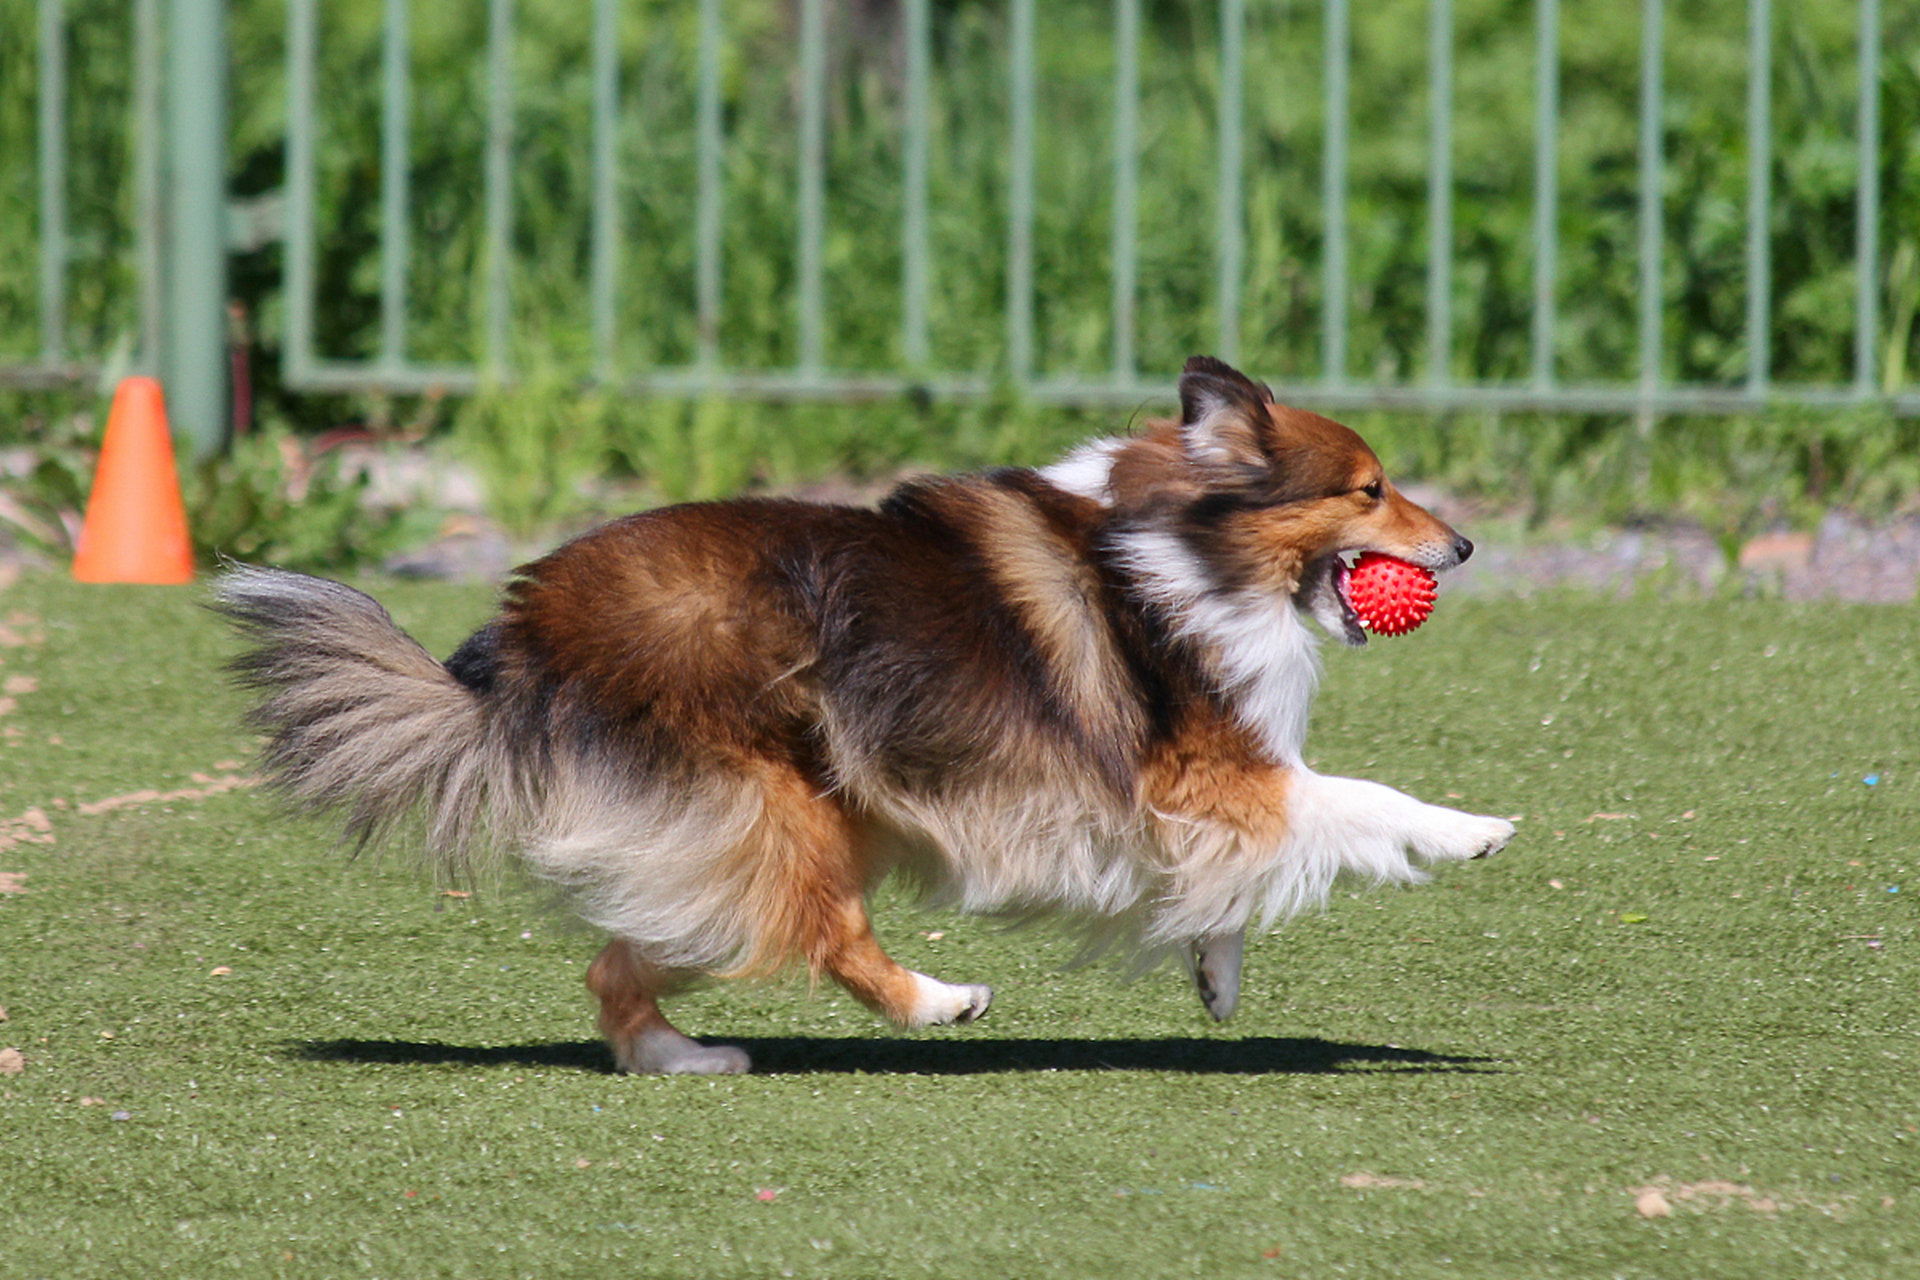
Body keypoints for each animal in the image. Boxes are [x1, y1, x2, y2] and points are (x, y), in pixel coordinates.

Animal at [217, 355, 1512, 1074]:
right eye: (1370, 489)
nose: (1462, 547)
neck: (1190, 541)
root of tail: (523, 629)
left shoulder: (1200, 797)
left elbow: (1235, 875)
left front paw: (1216, 975)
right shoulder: (1209, 770)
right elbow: (1356, 799)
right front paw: (1475, 828)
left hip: (759, 826)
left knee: (630, 956)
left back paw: (685, 1059)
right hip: (785, 802)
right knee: (826, 936)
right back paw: (939, 999)